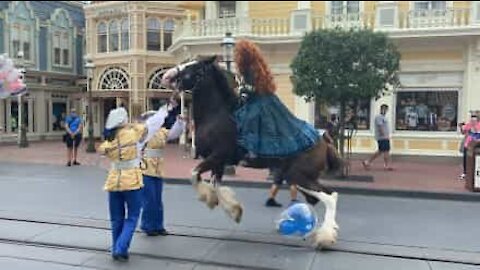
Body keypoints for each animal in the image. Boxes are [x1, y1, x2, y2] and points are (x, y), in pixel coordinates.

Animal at [163, 56, 344, 249]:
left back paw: (325, 237)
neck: (218, 114)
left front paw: (211, 200)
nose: (166, 75)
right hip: (301, 177)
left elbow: (194, 174)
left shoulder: (217, 156)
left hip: (298, 175)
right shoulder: (219, 163)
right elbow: (215, 185)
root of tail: (323, 139)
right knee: (320, 197)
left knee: (329, 197)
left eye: (193, 66)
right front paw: (233, 210)